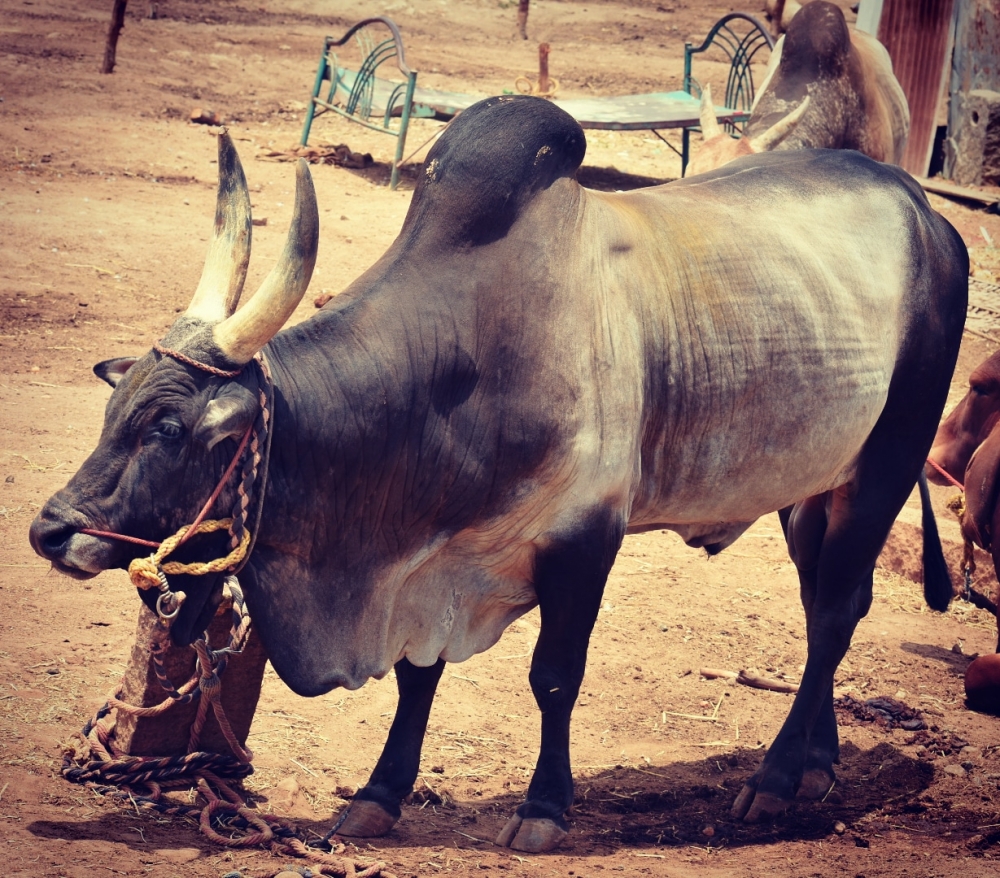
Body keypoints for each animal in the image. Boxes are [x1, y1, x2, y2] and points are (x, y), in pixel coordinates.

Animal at [30, 95, 966, 852]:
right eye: (117, 413)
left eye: (167, 428)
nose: (50, 529)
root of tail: (922, 208)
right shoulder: (432, 568)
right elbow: (418, 676)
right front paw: (379, 796)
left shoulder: (587, 538)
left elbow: (554, 677)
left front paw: (544, 811)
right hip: (814, 488)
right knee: (828, 606)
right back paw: (817, 765)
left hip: (889, 459)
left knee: (835, 613)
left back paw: (773, 781)